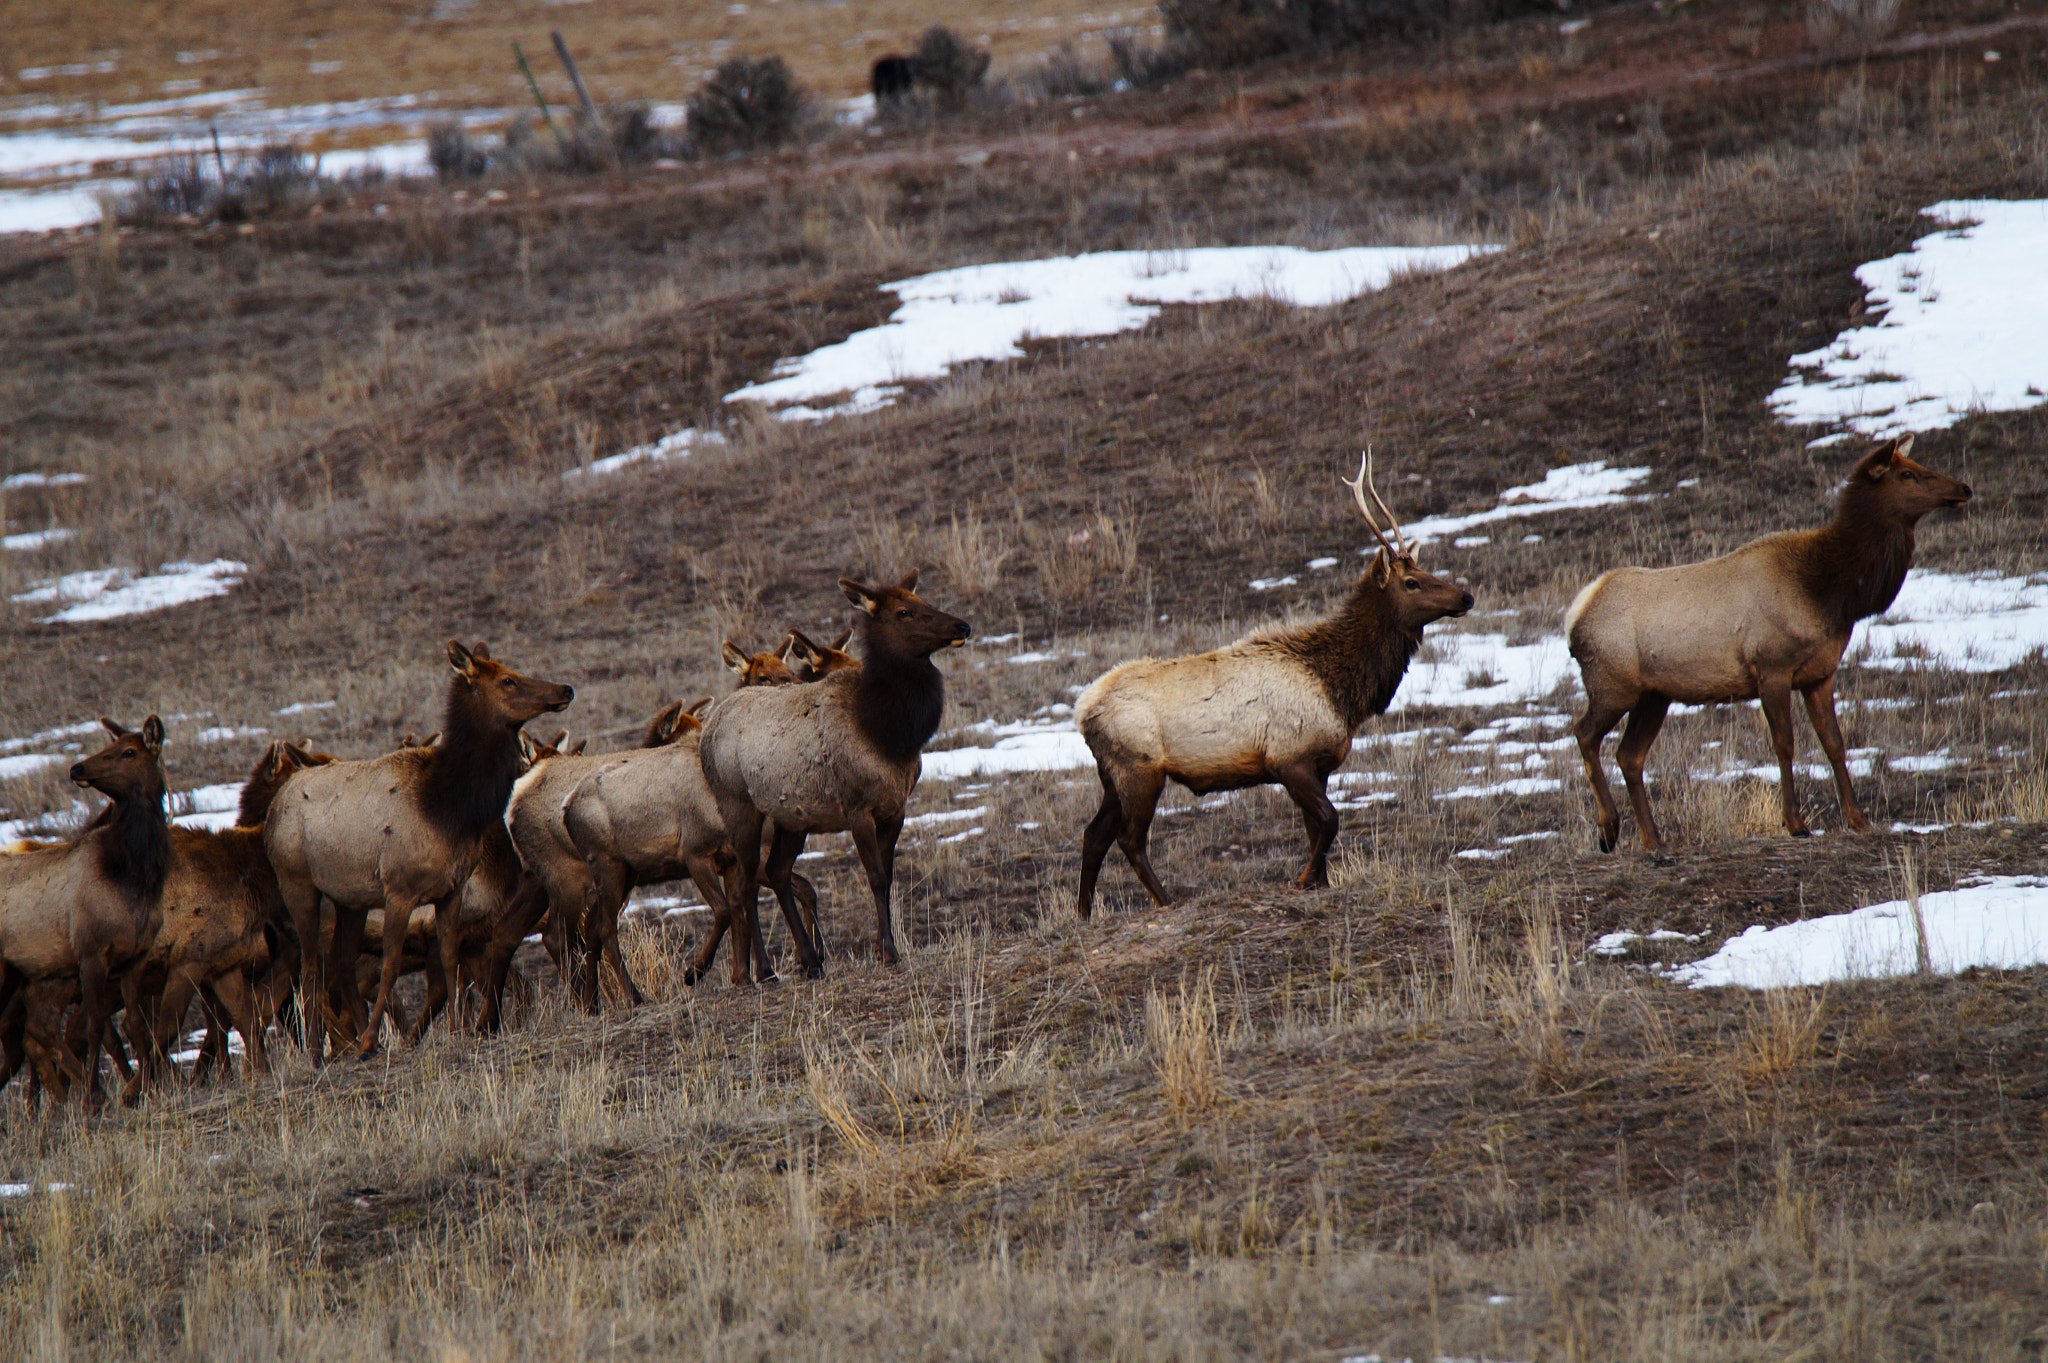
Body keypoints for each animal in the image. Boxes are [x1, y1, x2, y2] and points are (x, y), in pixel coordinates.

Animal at [0, 716, 172, 1096]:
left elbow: (135, 1024)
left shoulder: (135, 954)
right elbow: (95, 1028)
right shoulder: (90, 950)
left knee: (37, 1030)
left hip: (33, 974)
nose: (77, 767)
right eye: (110, 745)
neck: (131, 878)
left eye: (128, 751)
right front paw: (96, 1093)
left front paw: (147, 1090)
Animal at [262, 638, 577, 1064]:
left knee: (341, 963)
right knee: (312, 968)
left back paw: (363, 1044)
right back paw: (318, 1053)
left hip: (351, 898)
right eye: (508, 680)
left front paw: (459, 1031)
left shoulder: (451, 890)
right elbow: (391, 966)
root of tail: (273, 810)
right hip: (297, 883)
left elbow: (449, 962)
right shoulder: (399, 889)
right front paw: (372, 1039)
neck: (450, 809)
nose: (565, 689)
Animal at [700, 568, 970, 982]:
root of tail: (706, 729)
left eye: (924, 600)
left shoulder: (897, 807)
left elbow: (889, 876)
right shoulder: (858, 807)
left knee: (776, 871)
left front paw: (883, 949)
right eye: (904, 612)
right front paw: (888, 952)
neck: (888, 733)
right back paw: (765, 971)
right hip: (740, 808)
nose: (962, 625)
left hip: (791, 817)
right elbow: (875, 877)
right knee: (745, 885)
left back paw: (811, 961)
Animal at [1073, 454, 1474, 912]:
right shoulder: (1288, 758)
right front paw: (1302, 880)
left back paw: (1084, 914)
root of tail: (1082, 711)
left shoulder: (1319, 763)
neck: (1341, 692)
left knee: (1093, 834)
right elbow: (1329, 820)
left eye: (1425, 571)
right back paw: (1166, 900)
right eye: (1412, 582)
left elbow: (1315, 827)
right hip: (1139, 769)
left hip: (1111, 775)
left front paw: (1320, 882)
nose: (1465, 596)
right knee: (1129, 839)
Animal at [1564, 435, 1966, 851]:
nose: (1963, 489)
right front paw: (1795, 822)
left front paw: (1859, 819)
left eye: (1918, 465)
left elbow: (1834, 743)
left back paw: (1652, 839)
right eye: (1906, 474)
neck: (1829, 593)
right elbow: (1784, 743)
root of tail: (1576, 615)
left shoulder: (1819, 674)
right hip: (1614, 686)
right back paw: (1608, 829)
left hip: (1654, 696)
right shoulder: (1772, 666)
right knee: (1584, 733)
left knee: (1629, 755)